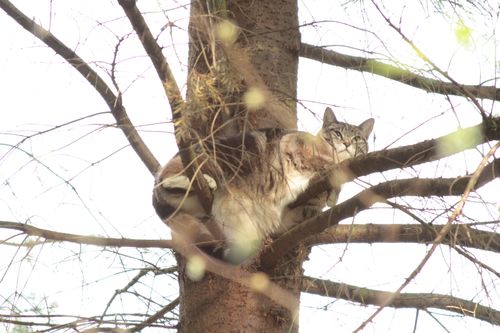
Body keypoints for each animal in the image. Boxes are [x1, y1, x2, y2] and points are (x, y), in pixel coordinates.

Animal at [154, 107, 374, 260]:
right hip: (221, 158)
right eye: (337, 133)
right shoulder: (292, 143)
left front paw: (327, 197)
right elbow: (317, 163)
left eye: (357, 138)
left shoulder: (291, 217)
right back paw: (201, 181)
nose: (347, 143)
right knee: (166, 181)